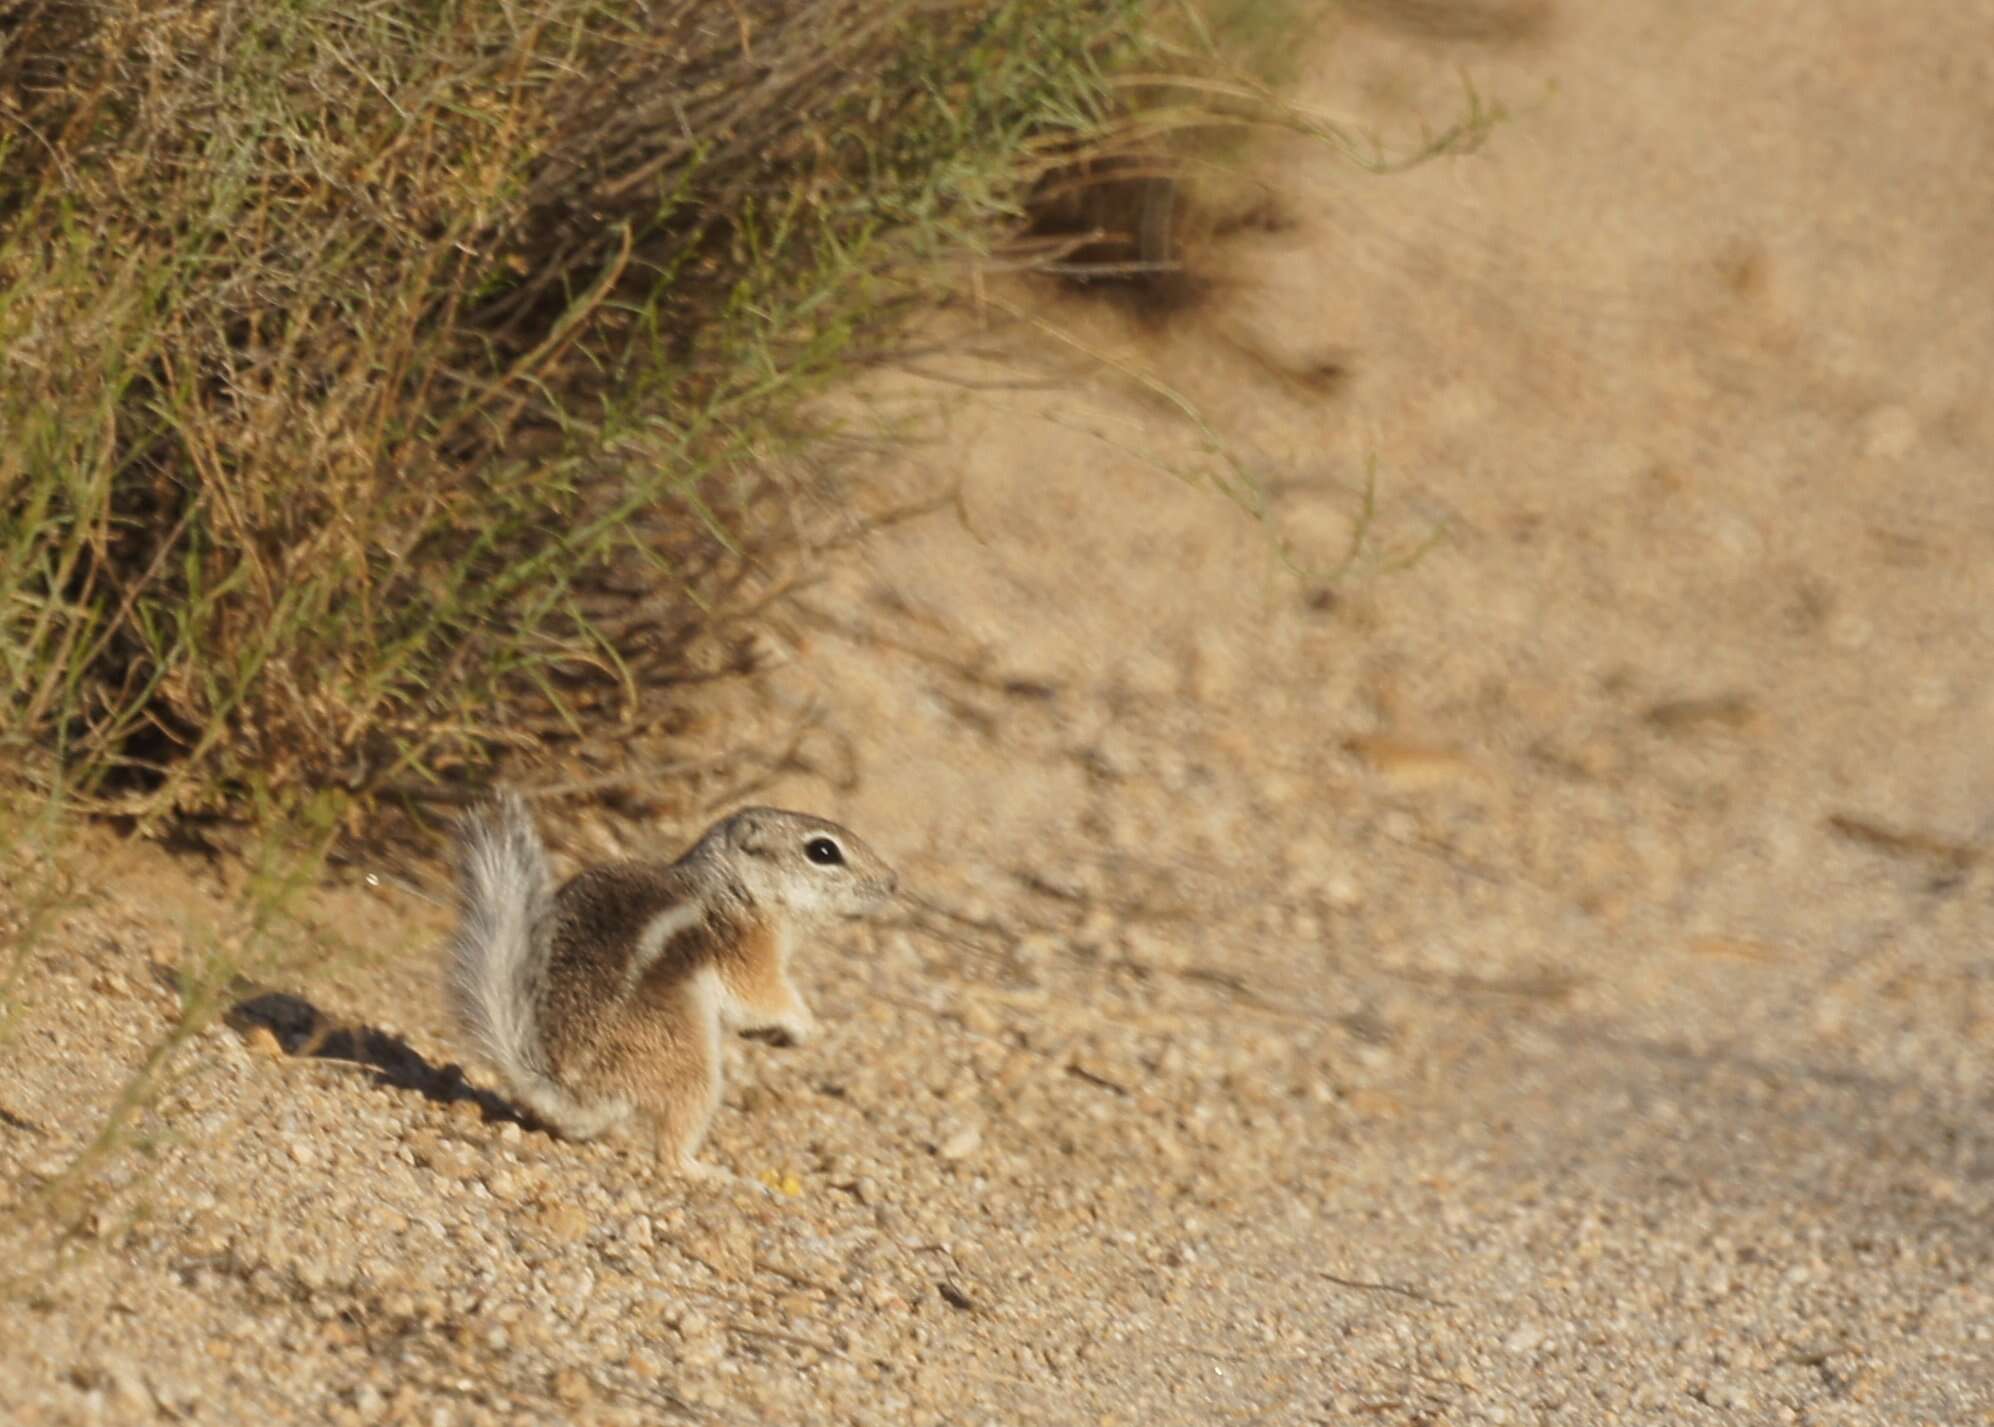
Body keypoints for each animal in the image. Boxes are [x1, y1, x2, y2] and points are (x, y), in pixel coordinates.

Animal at [448, 793, 901, 1179]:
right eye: (823, 851)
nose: (893, 882)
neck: (734, 889)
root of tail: (563, 1092)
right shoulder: (750, 958)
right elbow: (764, 999)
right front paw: (805, 1027)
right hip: (693, 1066)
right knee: (671, 1149)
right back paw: (711, 1173)